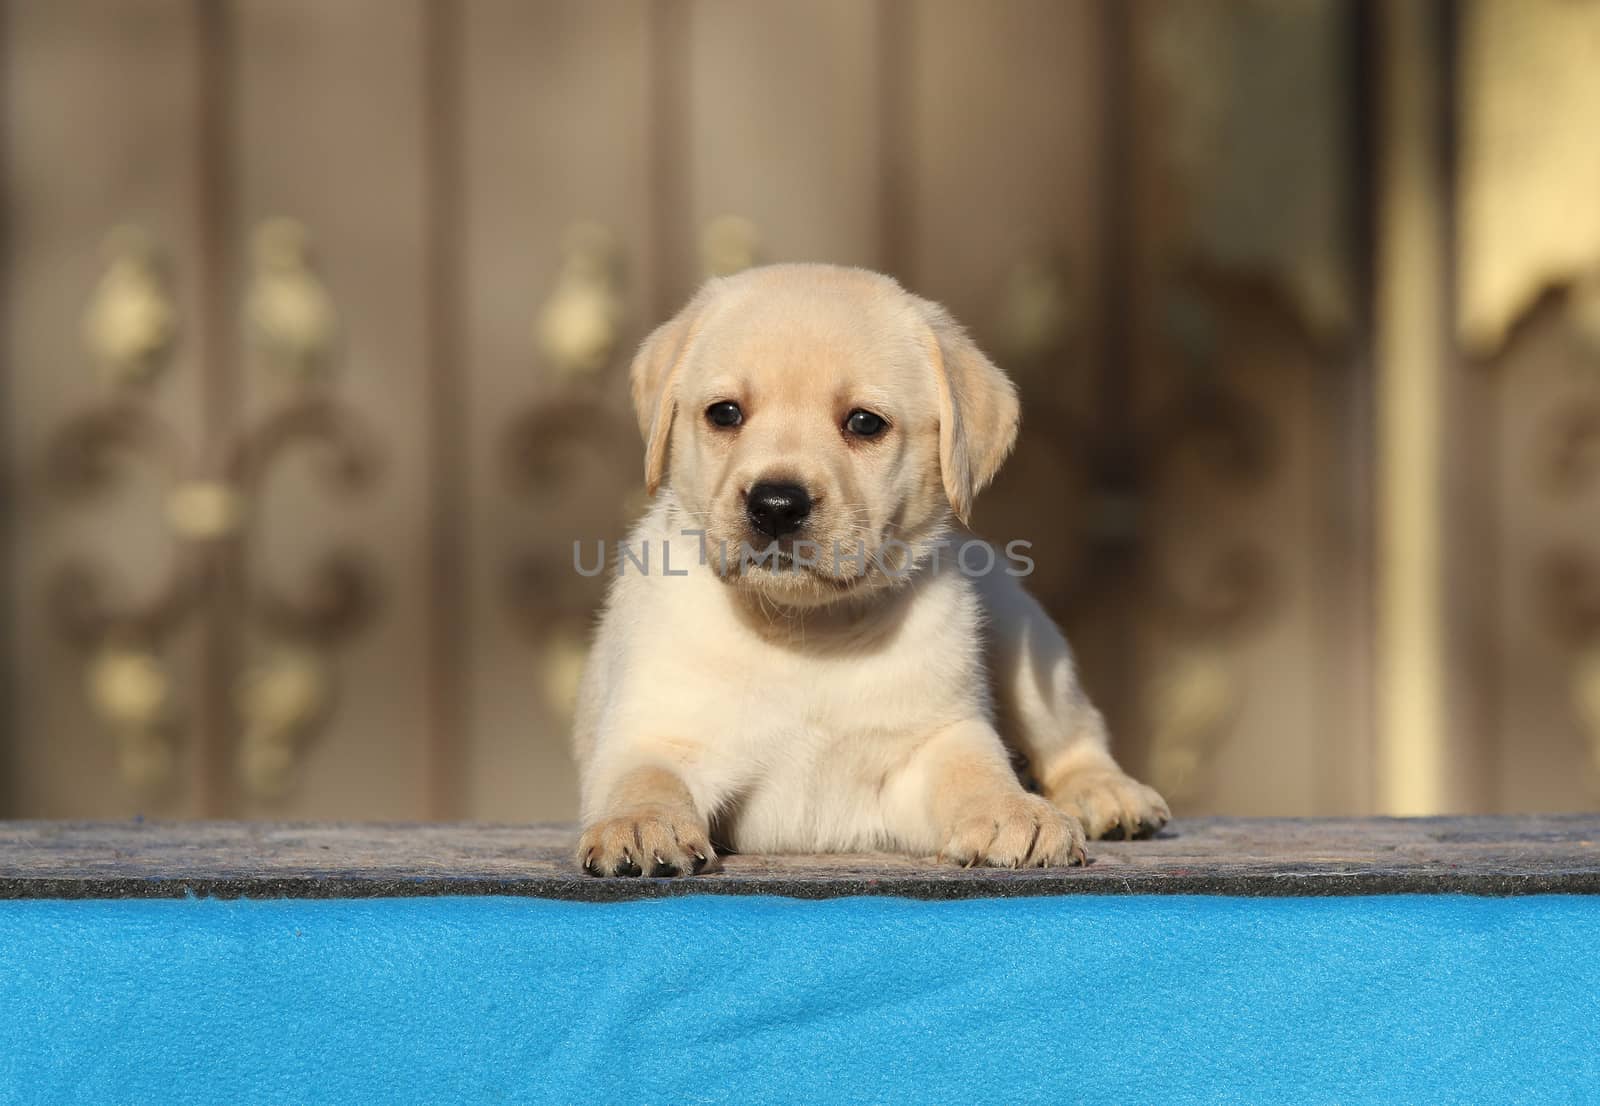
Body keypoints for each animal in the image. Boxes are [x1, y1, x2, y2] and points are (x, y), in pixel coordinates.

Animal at [569, 264, 1171, 877]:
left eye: (864, 423)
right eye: (725, 413)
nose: (776, 505)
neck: (806, 633)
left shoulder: (937, 739)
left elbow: (976, 770)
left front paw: (1012, 811)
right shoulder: (653, 733)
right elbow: (646, 779)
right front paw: (640, 824)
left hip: (1024, 638)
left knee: (1077, 734)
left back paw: (1107, 794)